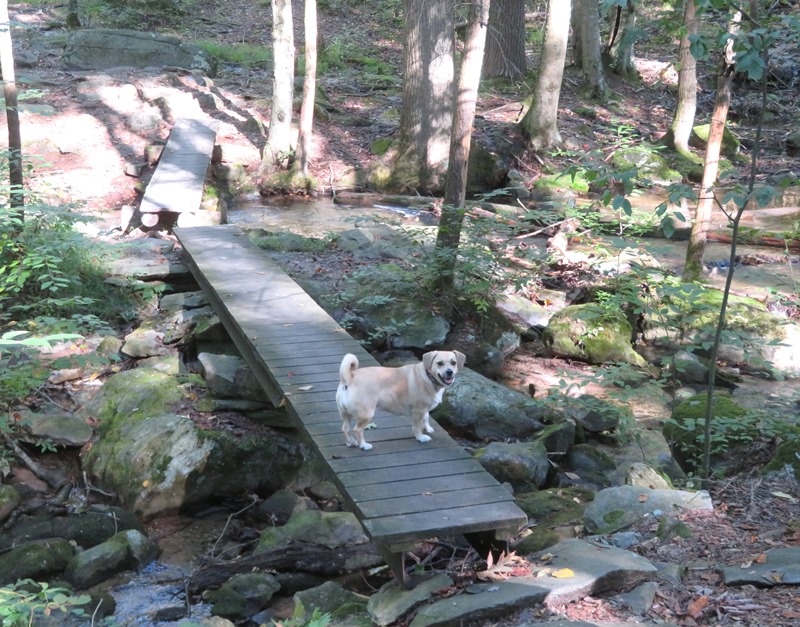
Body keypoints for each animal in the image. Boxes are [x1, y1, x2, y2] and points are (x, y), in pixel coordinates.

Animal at [334, 354, 466, 452]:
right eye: (440, 363)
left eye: (453, 363)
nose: (449, 372)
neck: (429, 377)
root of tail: (349, 378)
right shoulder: (418, 410)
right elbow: (417, 426)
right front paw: (420, 437)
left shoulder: (424, 409)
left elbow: (426, 417)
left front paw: (427, 428)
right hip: (366, 415)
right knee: (357, 430)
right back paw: (364, 445)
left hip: (345, 414)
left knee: (345, 428)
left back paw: (350, 442)